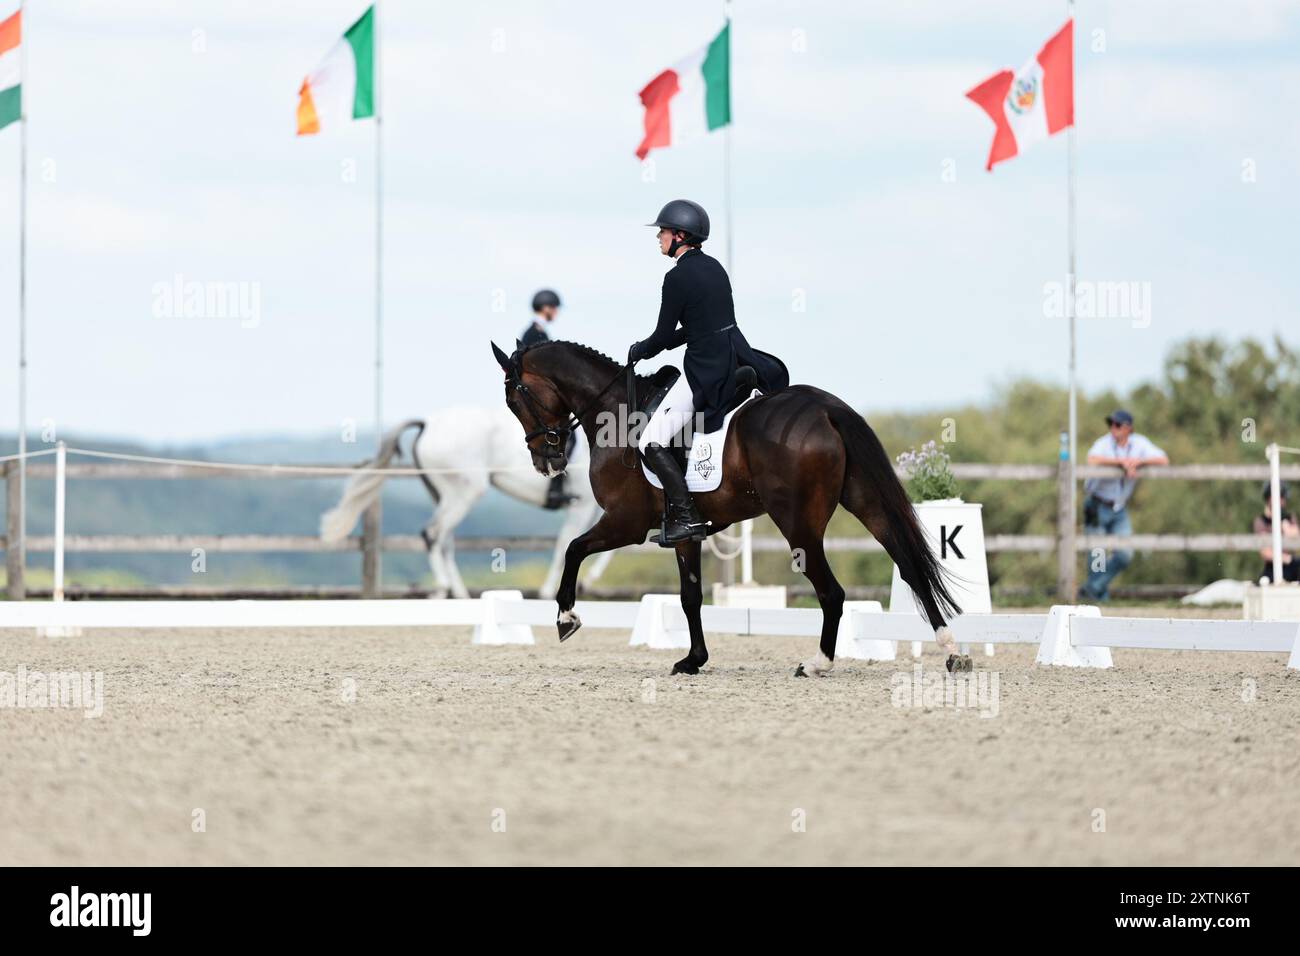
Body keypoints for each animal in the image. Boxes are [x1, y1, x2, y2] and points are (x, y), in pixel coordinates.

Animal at [319, 408, 613, 598]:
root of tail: (428, 424)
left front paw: (587, 582)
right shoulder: (582, 506)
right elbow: (567, 544)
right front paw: (549, 592)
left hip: (444, 495)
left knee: (444, 542)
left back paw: (457, 594)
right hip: (464, 492)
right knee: (433, 534)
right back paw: (443, 588)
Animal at [488, 340, 967, 676]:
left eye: (515, 400)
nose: (546, 462)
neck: (615, 413)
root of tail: (827, 408)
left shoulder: (626, 522)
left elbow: (573, 549)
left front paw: (566, 617)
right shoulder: (684, 531)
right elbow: (690, 596)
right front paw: (693, 660)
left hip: (798, 523)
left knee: (832, 591)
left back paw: (817, 663)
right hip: (866, 502)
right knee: (909, 566)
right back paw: (951, 651)